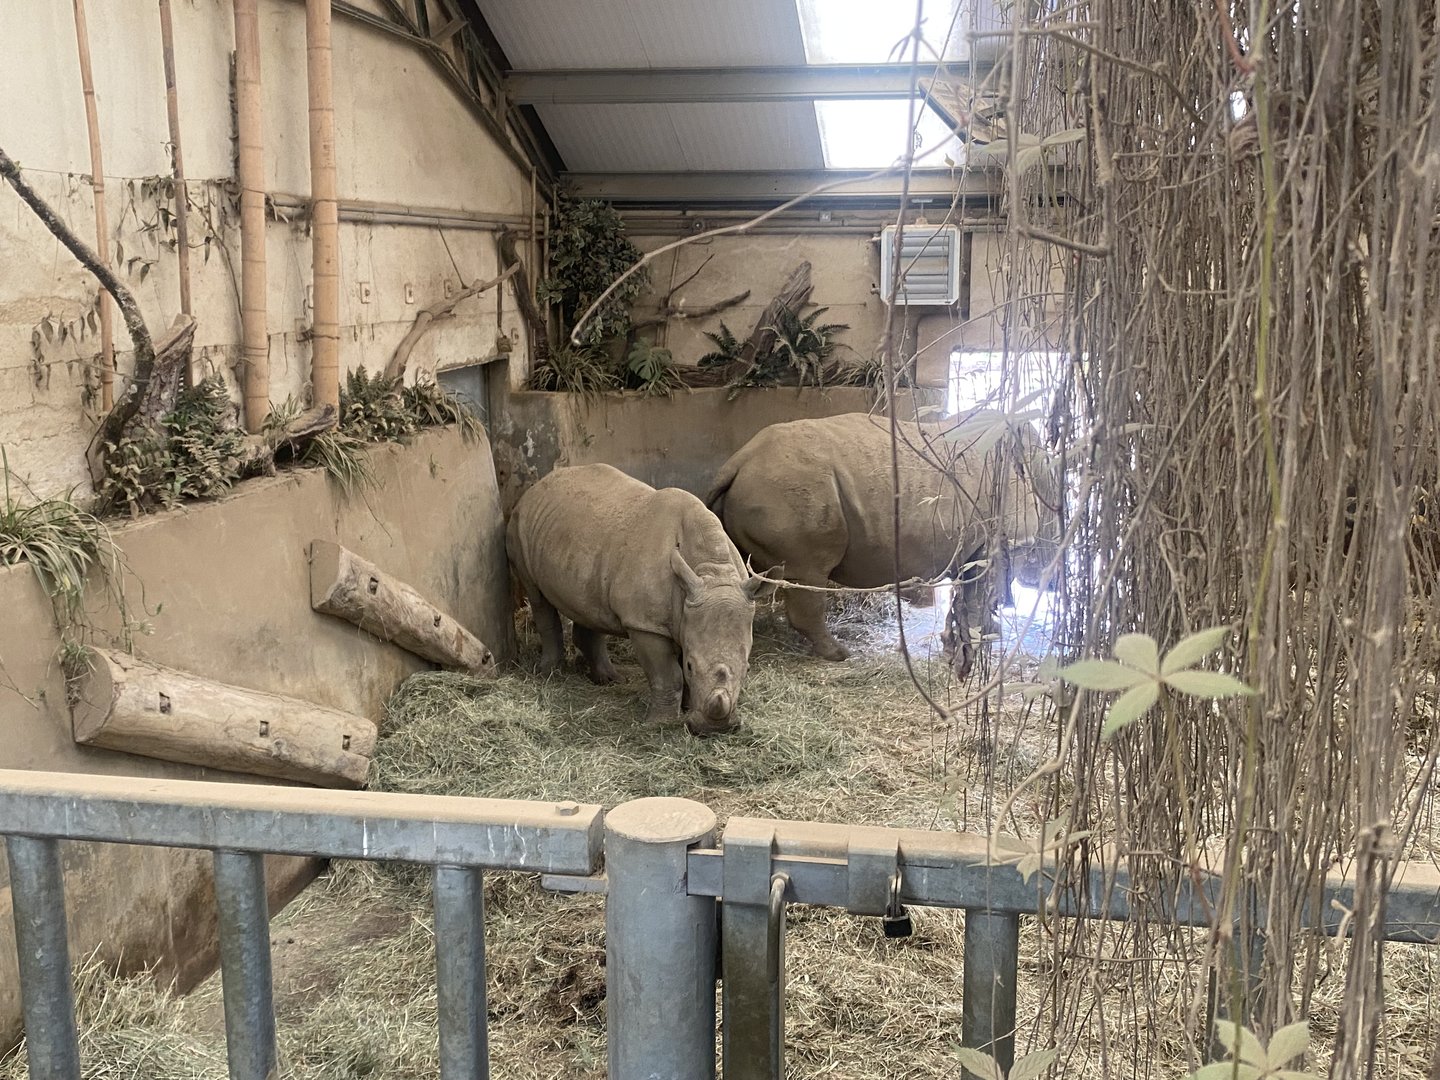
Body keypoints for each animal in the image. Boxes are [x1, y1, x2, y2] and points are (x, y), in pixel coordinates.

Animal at [507, 463, 768, 735]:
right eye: (691, 666)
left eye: (748, 669)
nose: (716, 729)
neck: (711, 571)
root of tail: (539, 484)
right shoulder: (645, 624)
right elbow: (668, 674)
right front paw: (661, 723)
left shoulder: (686, 613)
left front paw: (687, 709)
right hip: (519, 526)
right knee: (537, 596)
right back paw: (550, 673)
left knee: (589, 604)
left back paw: (610, 680)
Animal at [705, 412, 1061, 661]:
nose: (1054, 585)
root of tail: (739, 460)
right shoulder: (999, 544)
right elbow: (983, 592)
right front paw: (985, 636)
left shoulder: (977, 547)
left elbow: (970, 594)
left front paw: (977, 635)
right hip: (790, 489)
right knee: (808, 572)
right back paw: (839, 654)